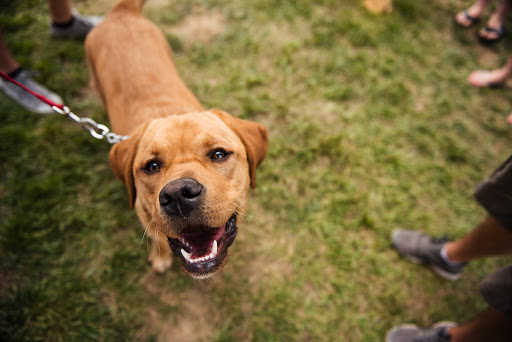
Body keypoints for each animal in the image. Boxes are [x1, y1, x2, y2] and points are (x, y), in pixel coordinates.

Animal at [85, 0, 268, 278]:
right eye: (151, 166)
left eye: (218, 154)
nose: (179, 194)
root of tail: (121, 11)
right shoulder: (147, 219)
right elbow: (158, 239)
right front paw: (160, 258)